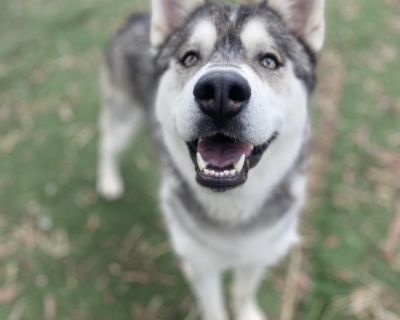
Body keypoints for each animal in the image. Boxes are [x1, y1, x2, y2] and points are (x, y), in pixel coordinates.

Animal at [97, 0, 324, 318]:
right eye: (190, 57)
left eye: (269, 60)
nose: (220, 90)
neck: (233, 209)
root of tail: (134, 18)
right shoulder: (201, 264)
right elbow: (214, 306)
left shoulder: (259, 253)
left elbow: (243, 292)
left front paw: (247, 312)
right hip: (123, 116)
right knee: (108, 145)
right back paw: (108, 181)